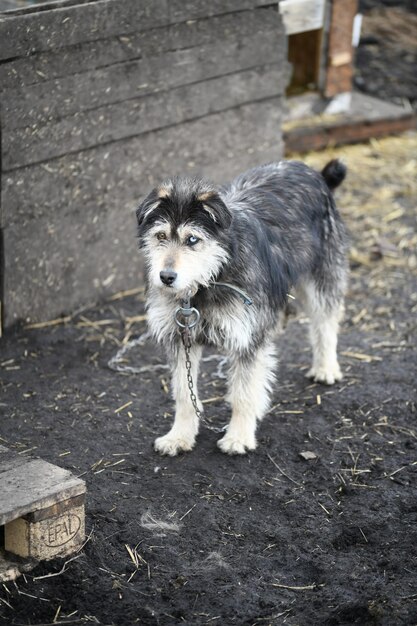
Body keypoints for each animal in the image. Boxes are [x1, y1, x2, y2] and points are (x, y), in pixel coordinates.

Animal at [136, 158, 348, 456]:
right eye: (161, 235)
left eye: (192, 239)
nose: (165, 277)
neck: (210, 278)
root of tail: (312, 171)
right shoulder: (180, 338)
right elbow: (184, 394)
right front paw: (179, 436)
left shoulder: (247, 340)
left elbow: (244, 393)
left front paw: (238, 436)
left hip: (321, 277)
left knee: (326, 320)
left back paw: (326, 367)